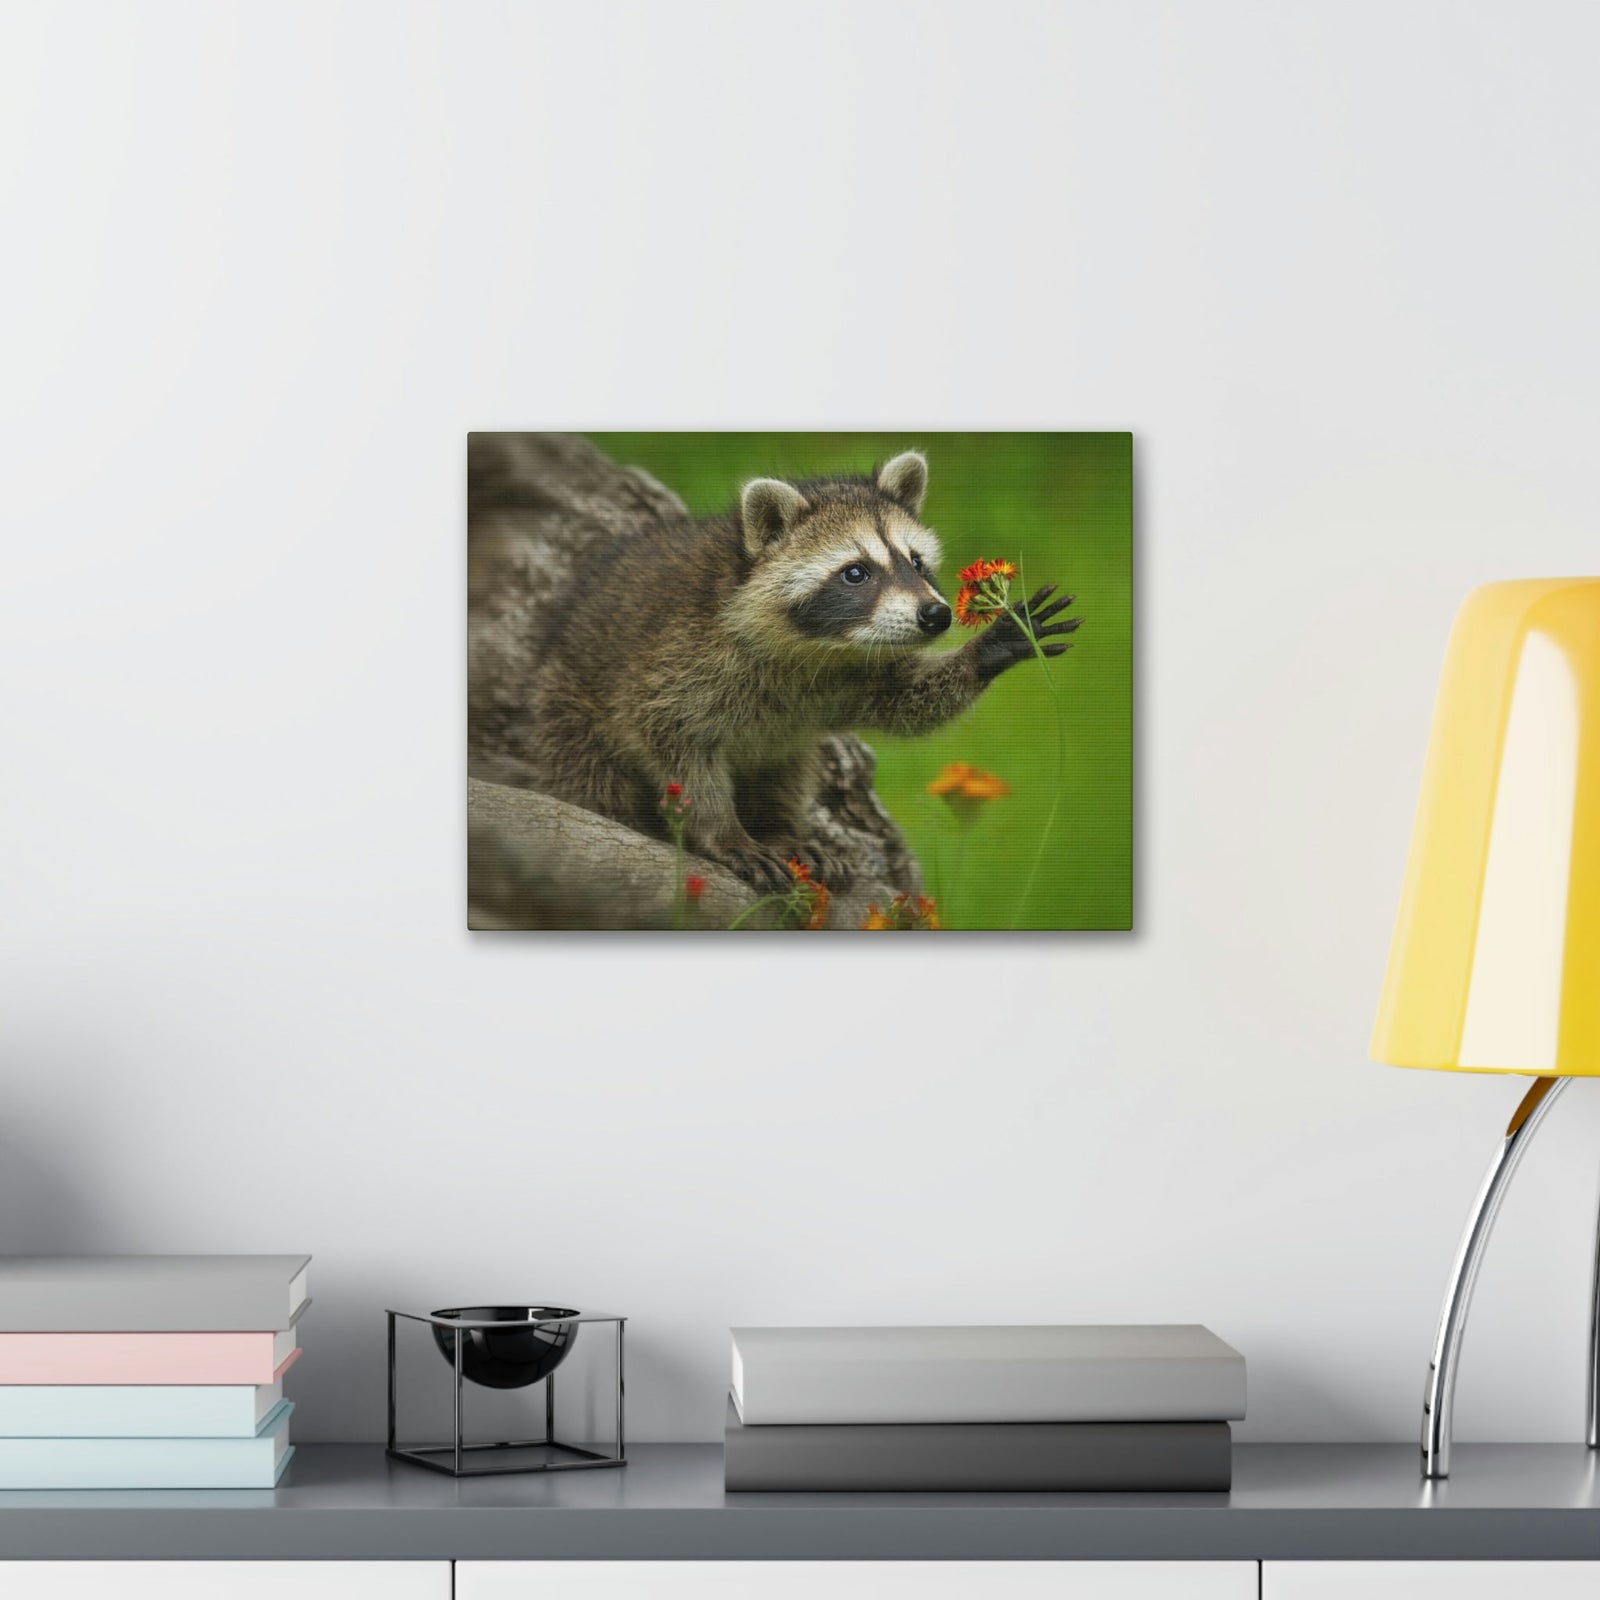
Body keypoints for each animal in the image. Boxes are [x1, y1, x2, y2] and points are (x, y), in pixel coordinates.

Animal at [517, 450, 1079, 890]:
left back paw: (782, 828)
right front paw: (722, 831)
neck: (816, 649)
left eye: (916, 562)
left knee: (786, 766)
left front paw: (989, 648)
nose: (936, 616)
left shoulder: (850, 675)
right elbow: (679, 752)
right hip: (568, 712)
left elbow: (906, 700)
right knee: (594, 779)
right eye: (856, 573)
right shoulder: (673, 667)